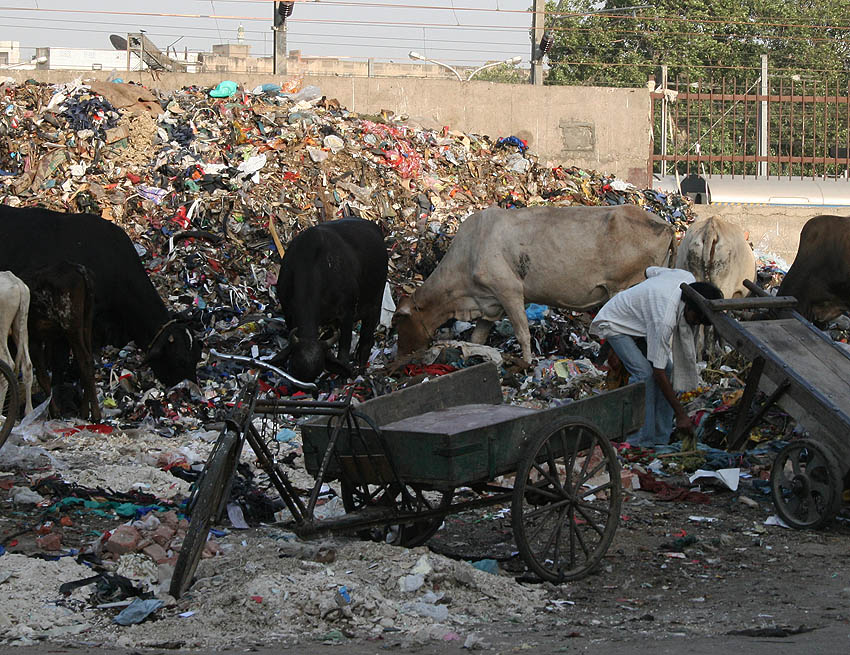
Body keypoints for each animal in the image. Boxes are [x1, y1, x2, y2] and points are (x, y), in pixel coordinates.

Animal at [20, 262, 100, 420]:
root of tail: (79, 268)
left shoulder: (32, 339)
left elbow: (42, 376)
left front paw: (53, 411)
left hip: (70, 322)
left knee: (85, 360)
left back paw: (95, 413)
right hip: (86, 319)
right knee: (87, 359)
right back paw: (85, 410)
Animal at [274, 218, 388, 382]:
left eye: (317, 373)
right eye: (293, 368)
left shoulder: (347, 313)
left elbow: (344, 352)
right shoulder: (287, 310)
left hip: (375, 304)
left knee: (366, 342)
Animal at [392, 205, 676, 366]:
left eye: (398, 322)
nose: (400, 356)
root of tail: (665, 224)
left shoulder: (509, 292)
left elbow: (522, 332)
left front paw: (527, 362)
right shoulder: (489, 302)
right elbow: (478, 337)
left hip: (623, 287)